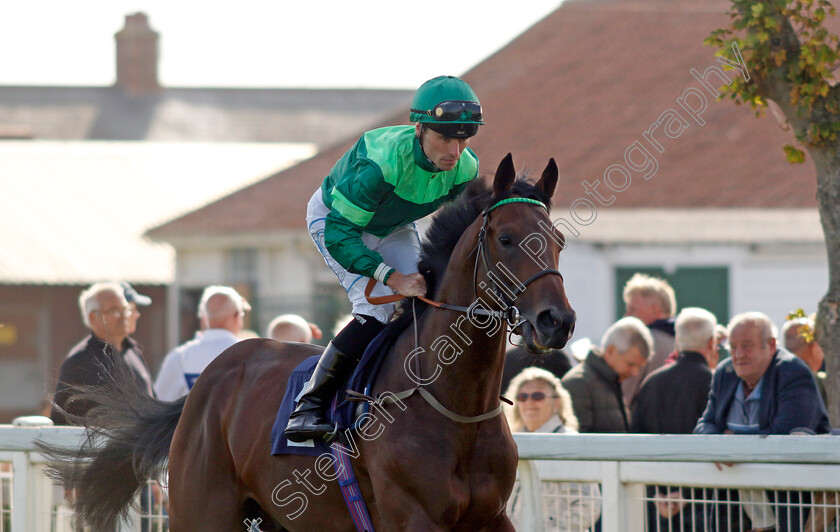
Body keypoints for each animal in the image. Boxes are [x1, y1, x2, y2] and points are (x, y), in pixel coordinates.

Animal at [39, 152, 576, 528]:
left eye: (558, 240)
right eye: (506, 238)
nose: (557, 321)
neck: (453, 405)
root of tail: (208, 378)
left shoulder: (492, 518)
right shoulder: (413, 518)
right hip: (202, 511)